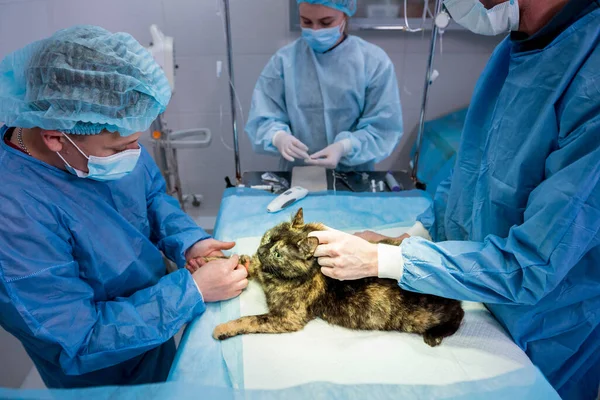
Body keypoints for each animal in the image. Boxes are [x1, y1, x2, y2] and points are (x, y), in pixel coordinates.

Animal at [197, 209, 464, 346]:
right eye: (268, 238)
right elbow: (238, 260)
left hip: (420, 316)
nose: (263, 251)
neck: (274, 276)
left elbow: (250, 320)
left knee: (459, 315)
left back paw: (435, 335)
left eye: (278, 254)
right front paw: (206, 263)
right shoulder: (257, 267)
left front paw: (222, 328)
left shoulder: (286, 318)